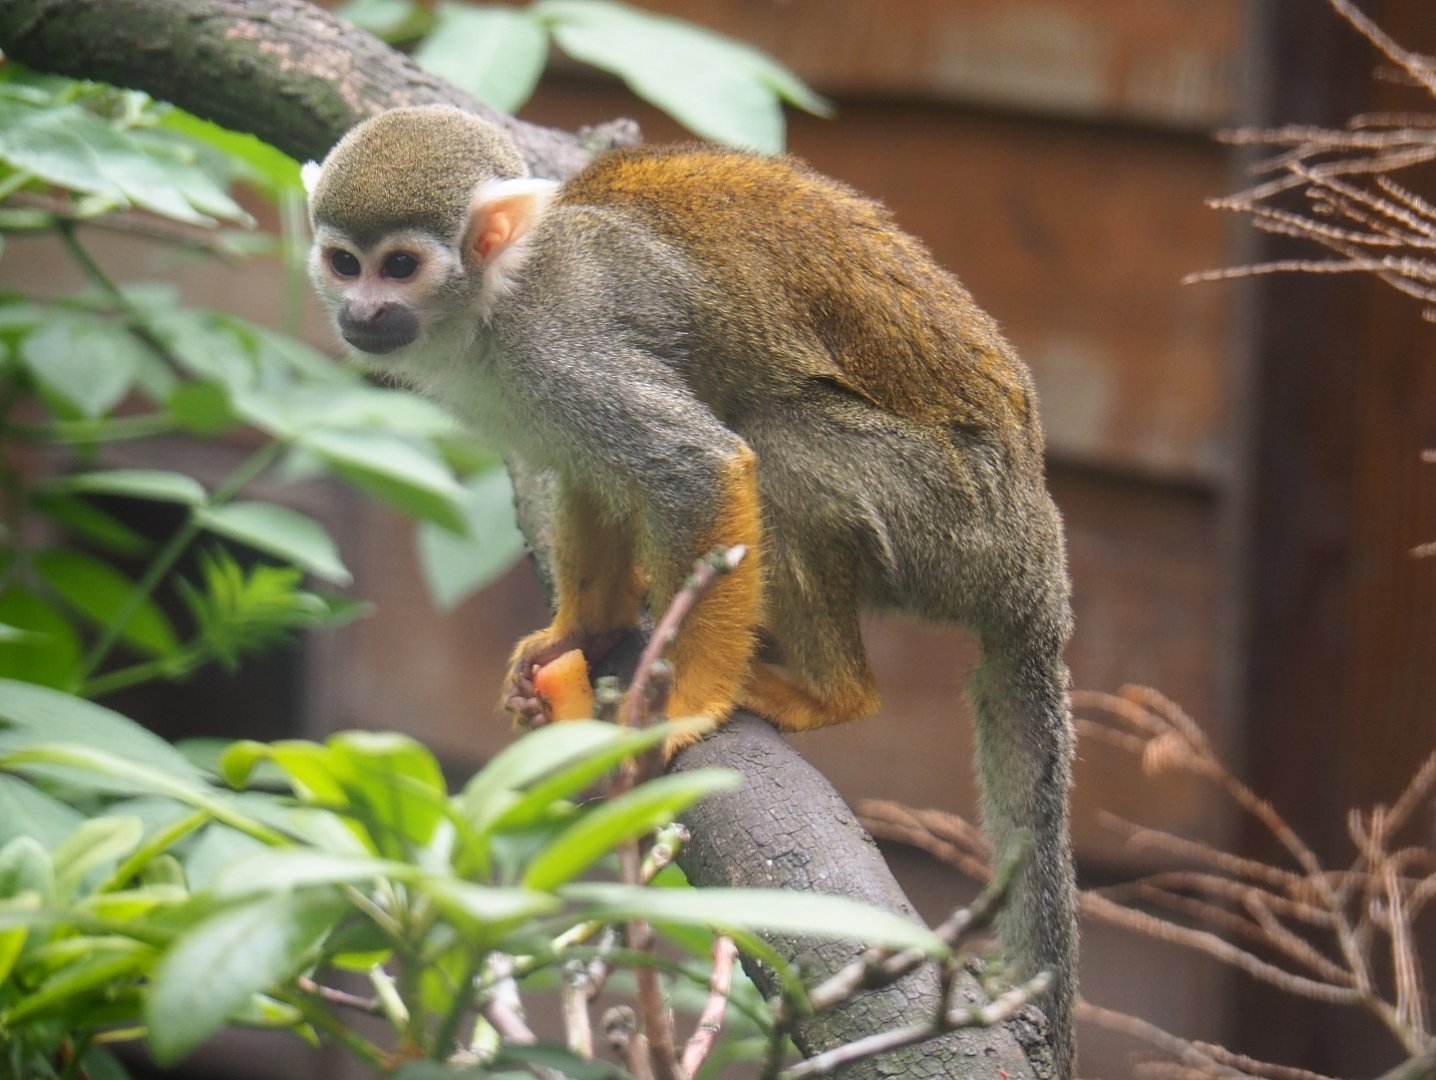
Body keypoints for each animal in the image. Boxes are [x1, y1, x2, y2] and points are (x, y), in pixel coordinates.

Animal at [304, 105, 1077, 1074]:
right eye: (344, 261)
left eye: (400, 265)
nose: (361, 311)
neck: (498, 298)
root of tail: (1036, 560)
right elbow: (588, 475)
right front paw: (580, 634)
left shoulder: (565, 348)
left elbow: (698, 468)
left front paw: (688, 704)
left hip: (951, 521)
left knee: (784, 447)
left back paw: (830, 692)